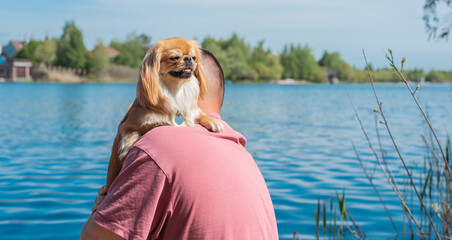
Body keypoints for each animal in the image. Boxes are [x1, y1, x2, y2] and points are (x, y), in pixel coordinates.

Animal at [107, 37, 224, 191]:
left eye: (194, 58)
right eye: (174, 58)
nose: (188, 59)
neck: (176, 90)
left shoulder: (192, 110)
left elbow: (200, 115)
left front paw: (214, 122)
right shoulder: (130, 127)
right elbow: (149, 127)